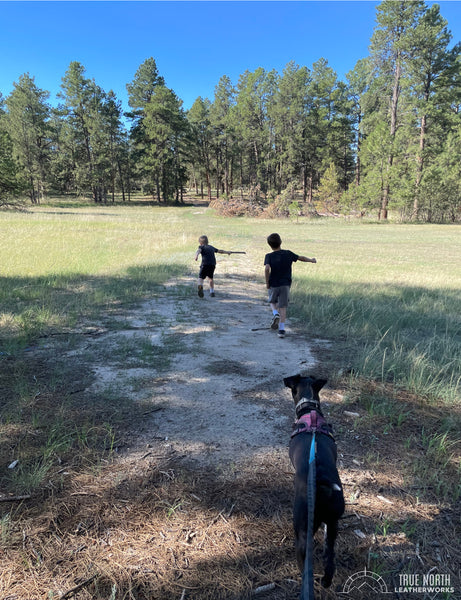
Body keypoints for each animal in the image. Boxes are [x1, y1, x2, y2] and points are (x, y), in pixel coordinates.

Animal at [282, 372, 344, 588]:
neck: (310, 410)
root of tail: (322, 485)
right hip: (333, 525)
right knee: (331, 559)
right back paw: (325, 581)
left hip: (303, 531)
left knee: (305, 564)